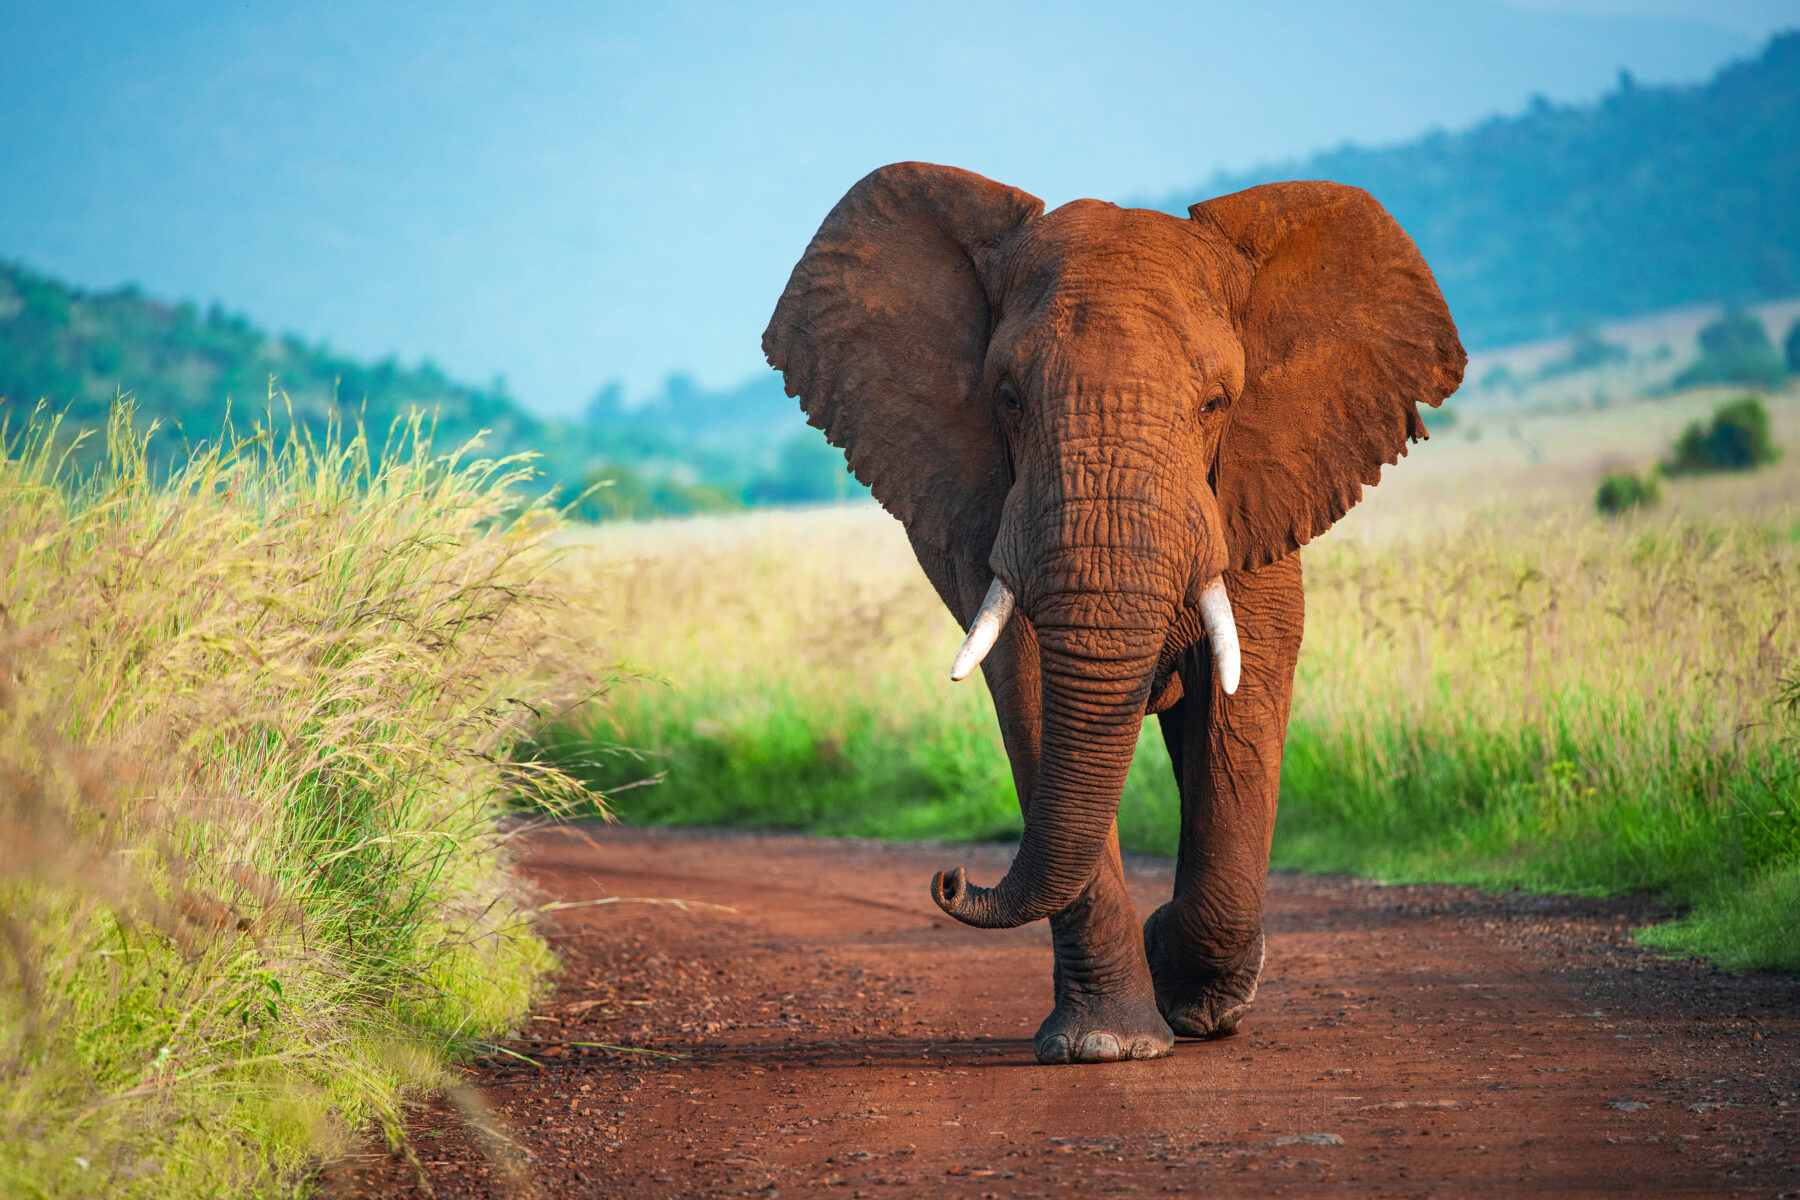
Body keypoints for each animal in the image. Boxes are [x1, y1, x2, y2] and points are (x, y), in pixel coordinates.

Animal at [759, 161, 1461, 1072]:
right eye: (1007, 398)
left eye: (1217, 403)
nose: (951, 879)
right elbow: (1027, 687)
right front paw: (1107, 1044)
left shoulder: (1256, 485)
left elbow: (1242, 698)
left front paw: (1194, 1004)